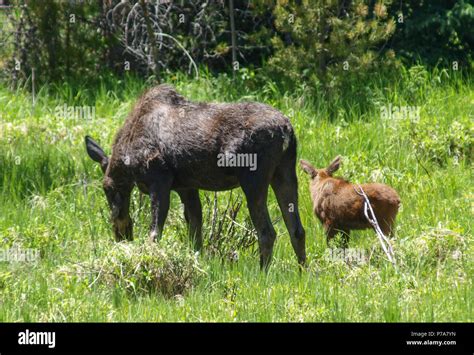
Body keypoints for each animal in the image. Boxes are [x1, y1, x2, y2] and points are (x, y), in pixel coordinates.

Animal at [85, 85, 306, 270]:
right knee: (297, 229)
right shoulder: (186, 187)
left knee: (267, 232)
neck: (127, 160)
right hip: (285, 172)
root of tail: (287, 130)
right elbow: (195, 232)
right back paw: (303, 272)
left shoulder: (160, 180)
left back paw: (262, 273)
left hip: (253, 179)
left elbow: (155, 232)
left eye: (107, 188)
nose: (120, 235)